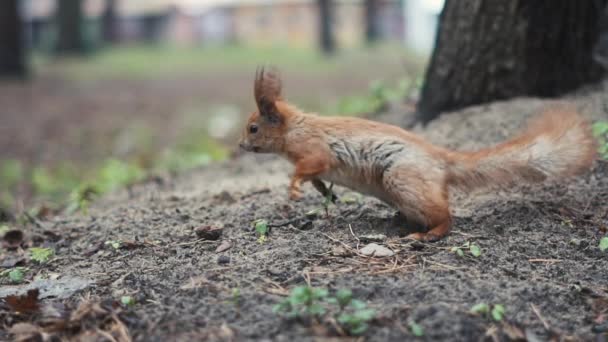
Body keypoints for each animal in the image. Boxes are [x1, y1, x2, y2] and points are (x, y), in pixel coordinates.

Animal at [240, 68, 596, 242]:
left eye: (253, 128)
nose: (241, 146)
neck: (293, 129)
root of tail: (441, 160)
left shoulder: (315, 149)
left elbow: (309, 167)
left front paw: (294, 186)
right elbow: (317, 178)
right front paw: (325, 193)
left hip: (402, 180)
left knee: (446, 217)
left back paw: (427, 235)